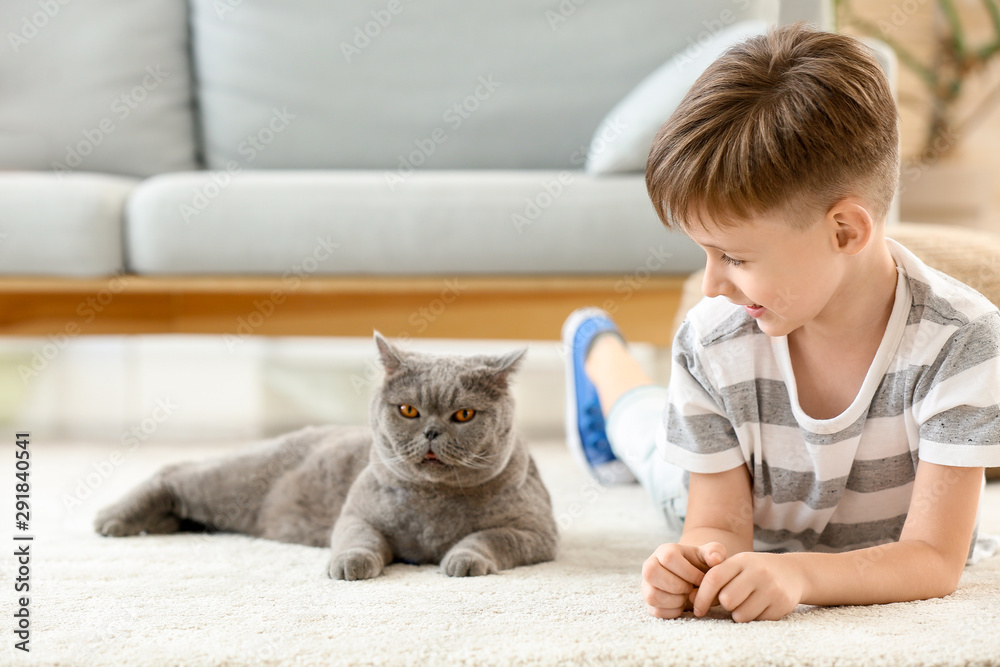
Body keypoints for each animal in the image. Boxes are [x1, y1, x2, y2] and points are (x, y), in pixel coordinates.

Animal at [92, 334, 564, 580]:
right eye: (408, 410)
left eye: (463, 415)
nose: (431, 431)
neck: (433, 506)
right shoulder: (356, 515)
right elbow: (358, 539)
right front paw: (350, 565)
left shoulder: (535, 532)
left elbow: (489, 537)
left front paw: (463, 560)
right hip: (232, 485)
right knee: (175, 469)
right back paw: (112, 519)